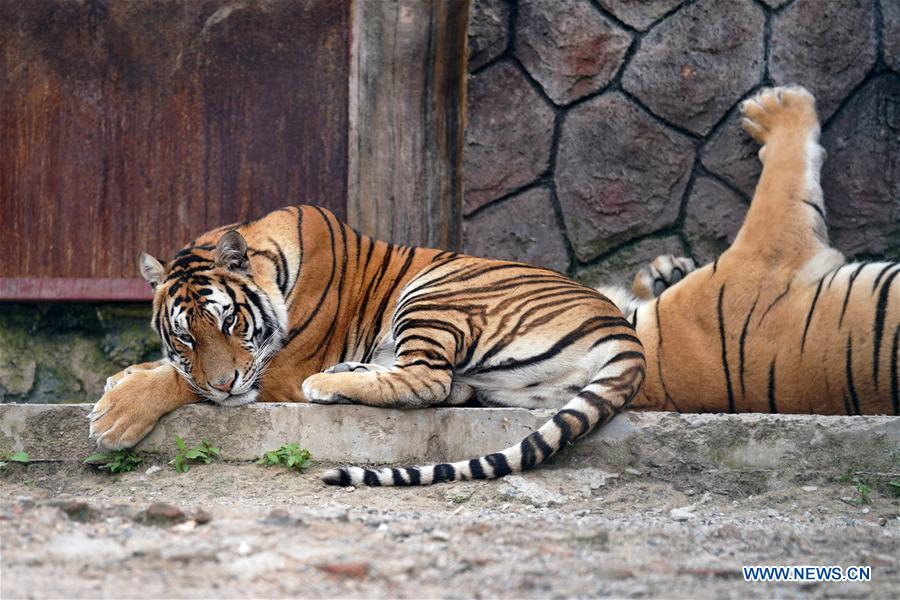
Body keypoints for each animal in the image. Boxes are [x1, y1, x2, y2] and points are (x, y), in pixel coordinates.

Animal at [88, 206, 644, 488]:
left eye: (229, 321)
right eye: (186, 334)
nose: (226, 385)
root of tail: (622, 327)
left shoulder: (279, 368)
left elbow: (183, 382)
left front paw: (115, 414)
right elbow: (173, 368)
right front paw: (123, 376)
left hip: (437, 287)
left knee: (428, 379)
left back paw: (324, 383)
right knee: (448, 386)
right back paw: (345, 374)